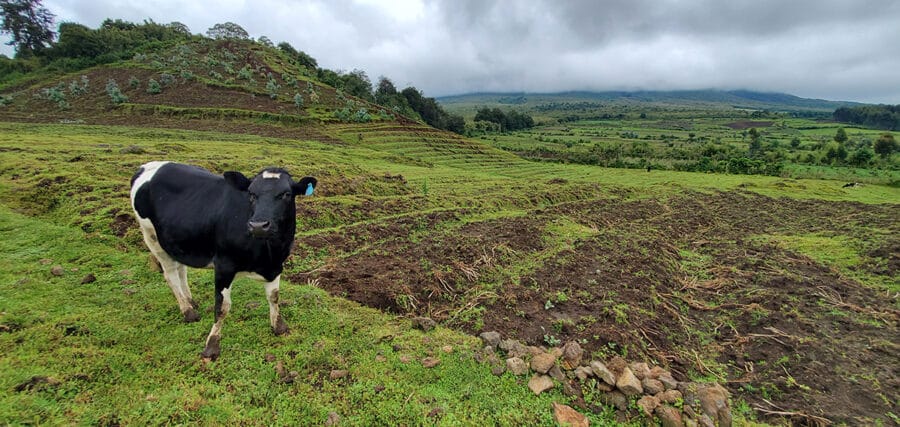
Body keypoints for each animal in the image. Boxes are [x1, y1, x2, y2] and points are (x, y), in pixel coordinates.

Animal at [130, 160, 316, 362]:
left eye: (286, 194)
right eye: (251, 194)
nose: (258, 225)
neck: (268, 252)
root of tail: (149, 165)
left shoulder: (275, 266)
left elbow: (274, 296)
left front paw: (279, 326)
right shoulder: (223, 266)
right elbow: (222, 308)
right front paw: (212, 346)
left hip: (177, 240)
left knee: (181, 269)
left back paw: (190, 300)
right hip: (152, 236)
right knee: (170, 275)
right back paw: (188, 311)